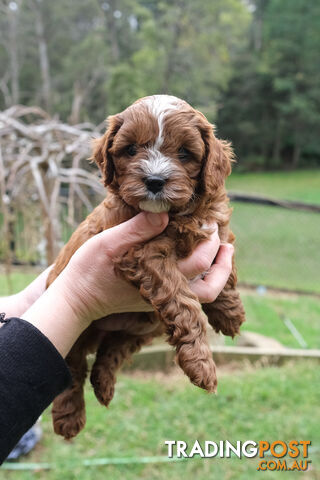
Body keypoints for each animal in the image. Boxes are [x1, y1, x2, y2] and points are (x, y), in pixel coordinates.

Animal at [47, 94, 245, 438]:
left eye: (184, 152)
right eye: (130, 150)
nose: (154, 181)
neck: (180, 213)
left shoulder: (217, 226)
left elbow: (226, 266)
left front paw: (230, 313)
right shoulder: (143, 254)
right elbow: (184, 302)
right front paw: (202, 364)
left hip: (145, 326)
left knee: (112, 349)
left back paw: (104, 385)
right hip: (80, 328)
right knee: (73, 365)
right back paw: (69, 417)